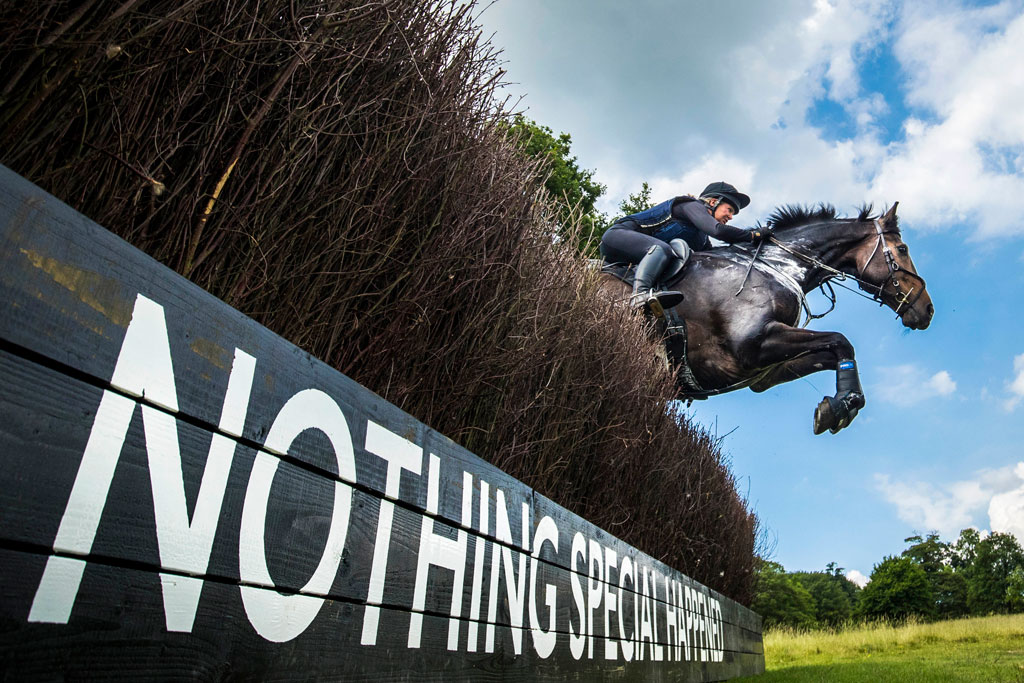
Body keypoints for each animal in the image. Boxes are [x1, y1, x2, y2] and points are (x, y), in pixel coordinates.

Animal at [598, 201, 937, 432]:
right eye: (902, 249)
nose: (927, 310)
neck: (776, 265)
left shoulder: (765, 371)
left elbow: (832, 352)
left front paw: (839, 405)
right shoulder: (752, 345)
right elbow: (842, 341)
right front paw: (844, 405)